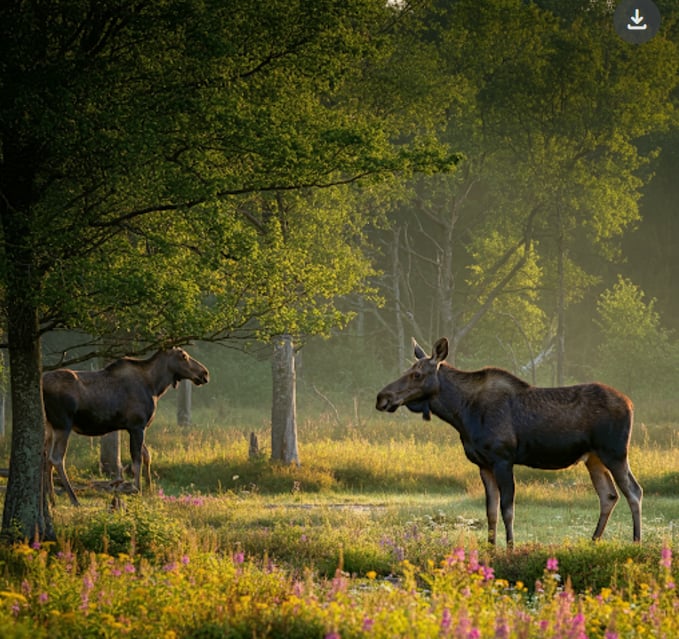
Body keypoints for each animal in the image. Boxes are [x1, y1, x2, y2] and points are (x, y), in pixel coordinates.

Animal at [43, 348, 209, 508]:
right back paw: (73, 499)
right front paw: (138, 491)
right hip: (63, 424)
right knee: (56, 458)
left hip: (50, 427)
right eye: (184, 356)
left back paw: (52, 500)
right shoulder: (136, 426)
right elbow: (137, 461)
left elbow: (147, 455)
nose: (205, 373)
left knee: (46, 458)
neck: (155, 387)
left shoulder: (138, 427)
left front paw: (150, 489)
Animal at [378, 338, 644, 548]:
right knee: (608, 495)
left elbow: (507, 509)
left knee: (633, 490)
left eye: (417, 374)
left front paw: (510, 547)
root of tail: (631, 403)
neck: (460, 413)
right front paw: (490, 548)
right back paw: (593, 541)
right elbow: (491, 511)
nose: (382, 397)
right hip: (593, 458)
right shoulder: (483, 464)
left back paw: (636, 541)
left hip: (615, 453)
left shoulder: (503, 459)